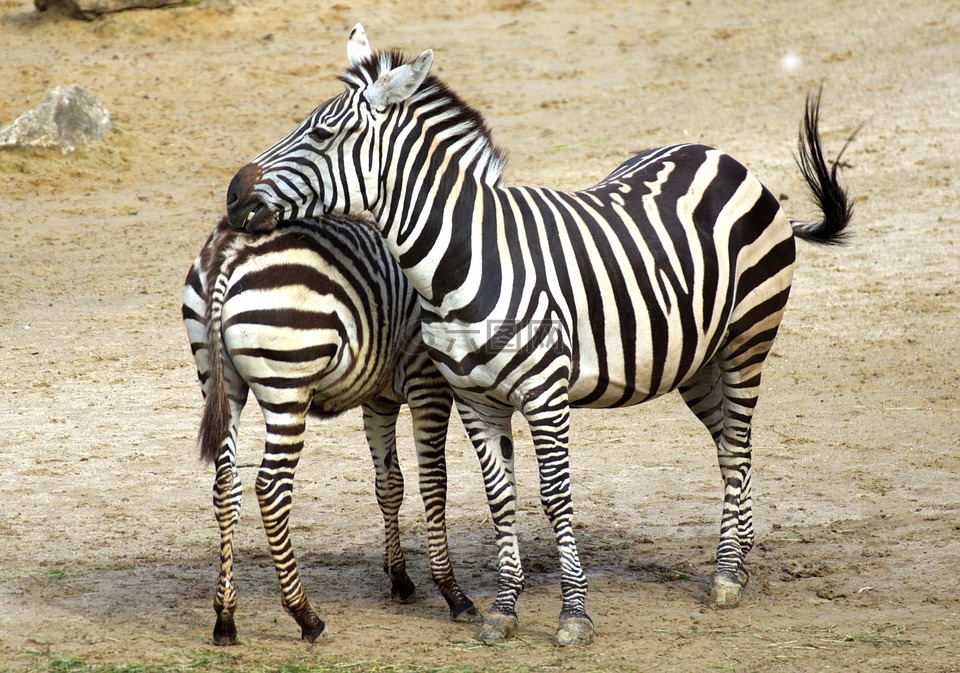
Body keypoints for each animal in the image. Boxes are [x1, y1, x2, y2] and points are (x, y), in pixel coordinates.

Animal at [181, 213, 480, 644]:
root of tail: (233, 248)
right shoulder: (428, 381)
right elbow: (434, 483)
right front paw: (452, 592)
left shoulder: (379, 397)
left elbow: (390, 483)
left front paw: (400, 578)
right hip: (287, 381)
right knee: (270, 488)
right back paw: (306, 615)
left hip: (219, 381)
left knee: (226, 487)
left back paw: (225, 619)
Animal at [223, 26, 856, 644]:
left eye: (322, 133)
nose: (232, 195)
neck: (461, 260)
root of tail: (719, 154)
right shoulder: (474, 399)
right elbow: (500, 499)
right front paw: (503, 610)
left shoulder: (545, 395)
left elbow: (555, 496)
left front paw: (573, 615)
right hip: (696, 359)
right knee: (729, 446)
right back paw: (739, 559)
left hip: (748, 340)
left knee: (739, 449)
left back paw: (725, 575)